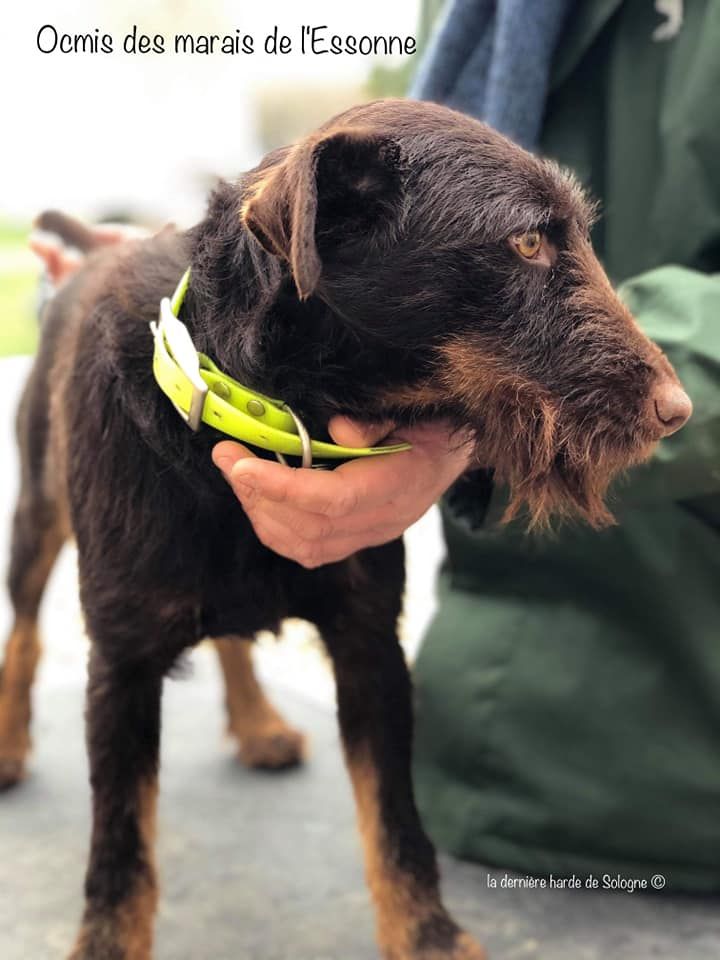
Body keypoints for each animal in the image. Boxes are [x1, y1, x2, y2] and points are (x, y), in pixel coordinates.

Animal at [0, 99, 692, 960]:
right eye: (527, 241)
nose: (679, 411)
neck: (263, 403)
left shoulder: (371, 645)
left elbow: (395, 822)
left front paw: (427, 936)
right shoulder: (120, 667)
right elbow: (120, 850)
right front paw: (106, 943)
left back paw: (258, 722)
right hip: (36, 518)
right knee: (25, 631)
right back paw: (9, 743)